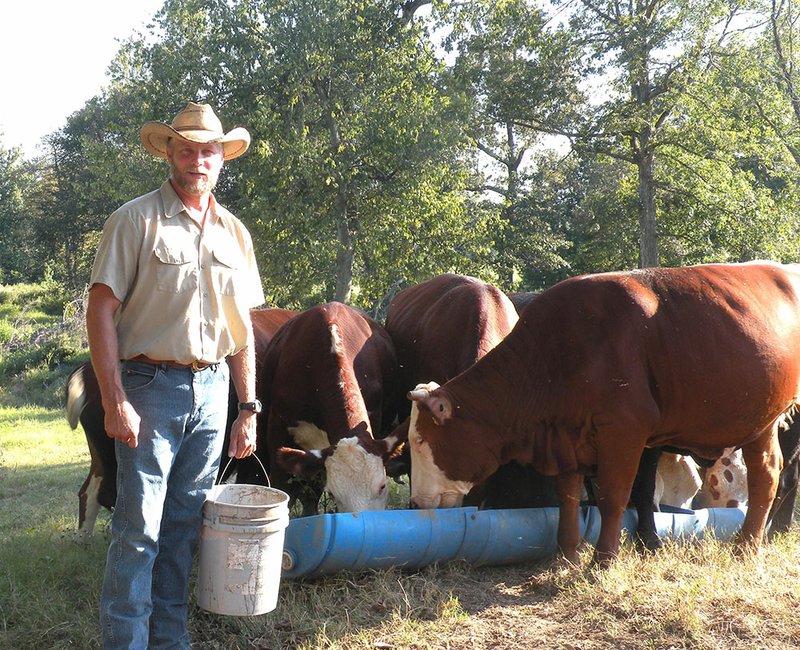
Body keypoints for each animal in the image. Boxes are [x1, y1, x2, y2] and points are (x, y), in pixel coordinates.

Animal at [406, 262, 800, 560]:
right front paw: (567, 551)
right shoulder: (565, 437)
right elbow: (567, 496)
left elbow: (615, 495)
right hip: (761, 423)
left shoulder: (624, 432)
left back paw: (746, 545)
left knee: (766, 477)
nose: (415, 503)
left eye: (422, 442)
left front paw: (604, 558)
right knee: (770, 475)